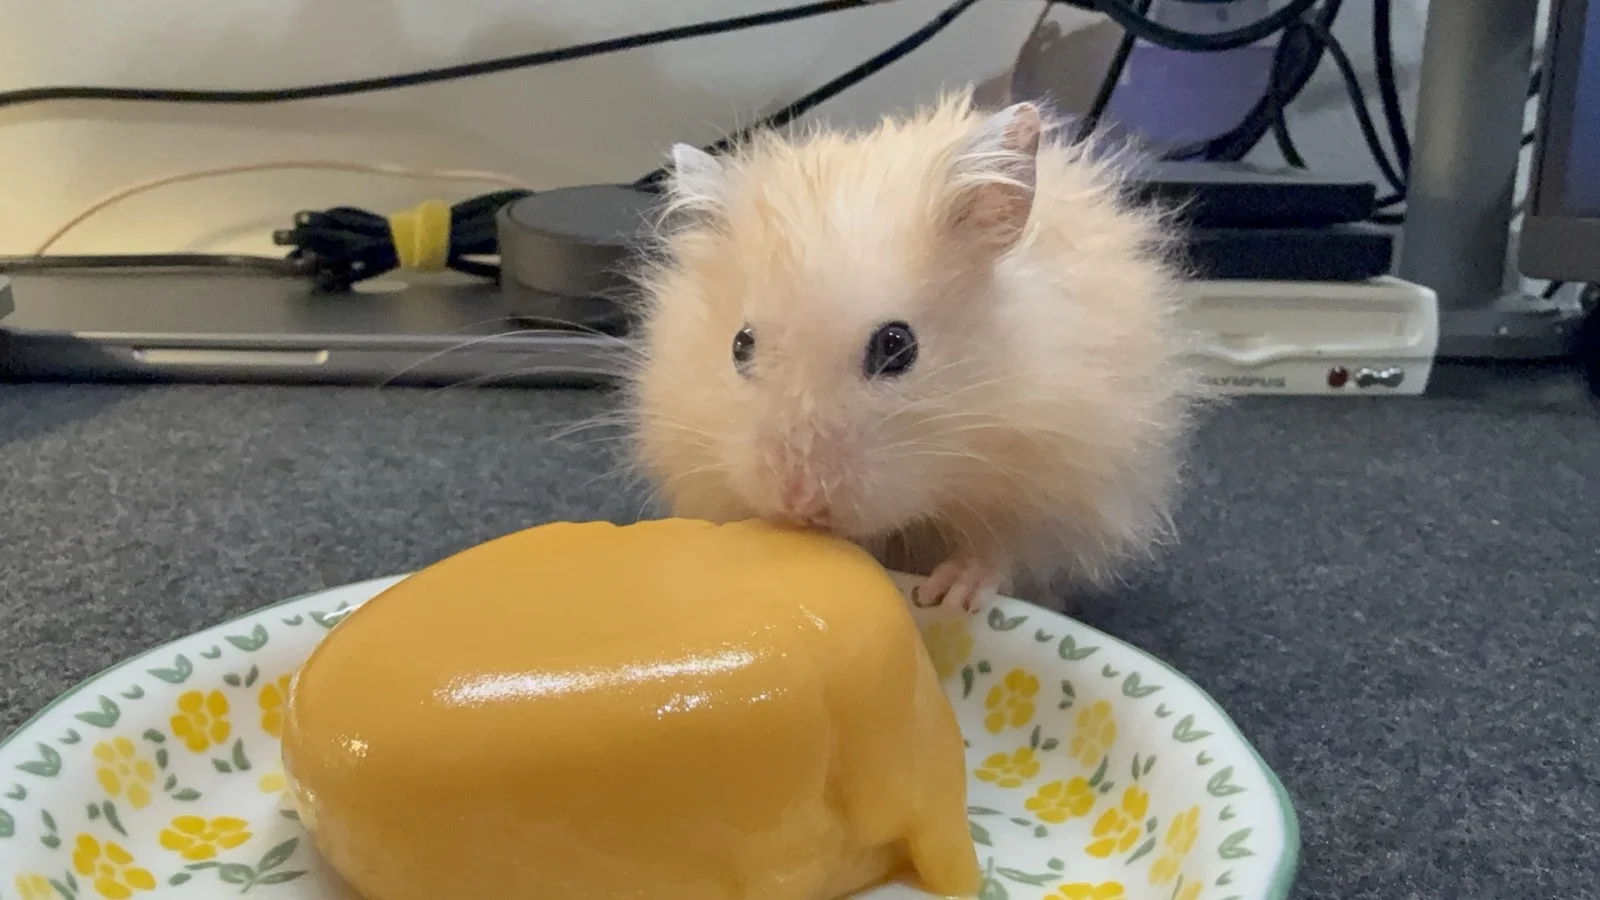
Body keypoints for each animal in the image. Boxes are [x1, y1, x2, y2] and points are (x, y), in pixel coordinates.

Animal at [625, 90, 1203, 613]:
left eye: (897, 345)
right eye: (740, 345)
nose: (801, 502)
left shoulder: (1058, 477)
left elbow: (999, 547)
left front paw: (951, 593)